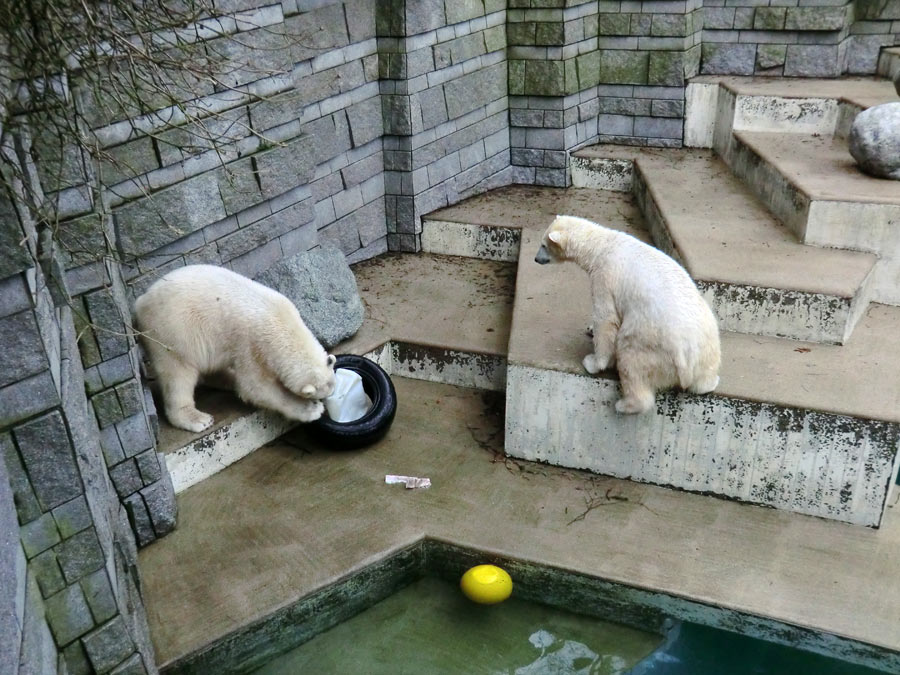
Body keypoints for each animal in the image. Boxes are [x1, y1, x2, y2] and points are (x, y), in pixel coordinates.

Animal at [132, 264, 332, 434]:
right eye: (321, 395)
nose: (327, 402)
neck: (281, 324)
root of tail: (140, 302)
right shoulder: (252, 341)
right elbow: (256, 386)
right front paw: (311, 409)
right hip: (171, 332)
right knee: (178, 375)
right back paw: (197, 418)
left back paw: (228, 379)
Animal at [536, 217, 724, 418]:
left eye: (543, 245)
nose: (536, 258)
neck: (601, 245)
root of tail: (688, 361)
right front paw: (590, 329)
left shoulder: (605, 277)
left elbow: (606, 318)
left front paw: (594, 362)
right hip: (708, 341)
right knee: (704, 377)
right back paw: (710, 383)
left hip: (650, 340)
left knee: (631, 360)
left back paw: (624, 404)